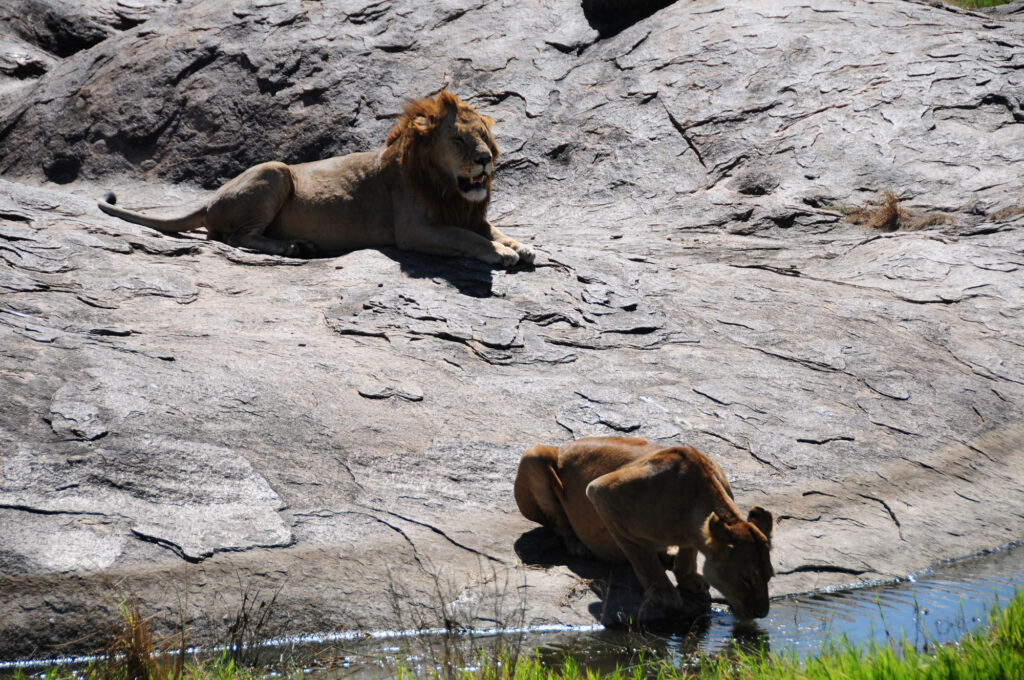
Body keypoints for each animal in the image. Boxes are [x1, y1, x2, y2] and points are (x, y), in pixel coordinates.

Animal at [96, 91, 536, 266]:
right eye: (459, 139)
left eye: (485, 137)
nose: (485, 160)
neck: (447, 188)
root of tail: (210, 198)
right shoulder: (415, 231)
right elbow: (467, 238)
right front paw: (501, 253)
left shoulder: (468, 212)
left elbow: (492, 229)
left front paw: (523, 246)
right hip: (274, 171)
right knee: (234, 237)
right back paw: (292, 246)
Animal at [516, 438, 770, 618]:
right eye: (746, 579)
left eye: (768, 576)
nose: (761, 614)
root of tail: (563, 447)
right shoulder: (602, 492)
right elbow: (640, 554)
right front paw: (663, 592)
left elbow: (688, 550)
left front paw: (687, 578)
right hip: (533, 455)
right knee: (558, 522)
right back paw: (577, 544)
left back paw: (668, 554)